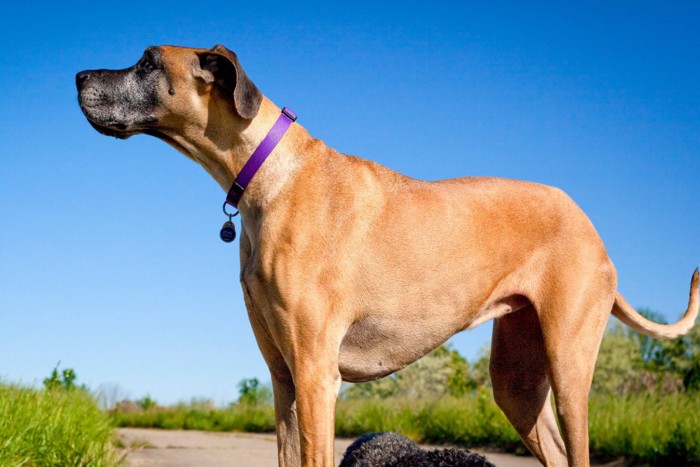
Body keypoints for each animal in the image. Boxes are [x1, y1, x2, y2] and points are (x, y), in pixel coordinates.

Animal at [78, 44, 700, 467]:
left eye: (148, 62)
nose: (79, 75)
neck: (268, 173)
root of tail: (592, 228)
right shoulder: (283, 379)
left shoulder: (315, 375)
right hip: (518, 381)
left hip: (569, 365)